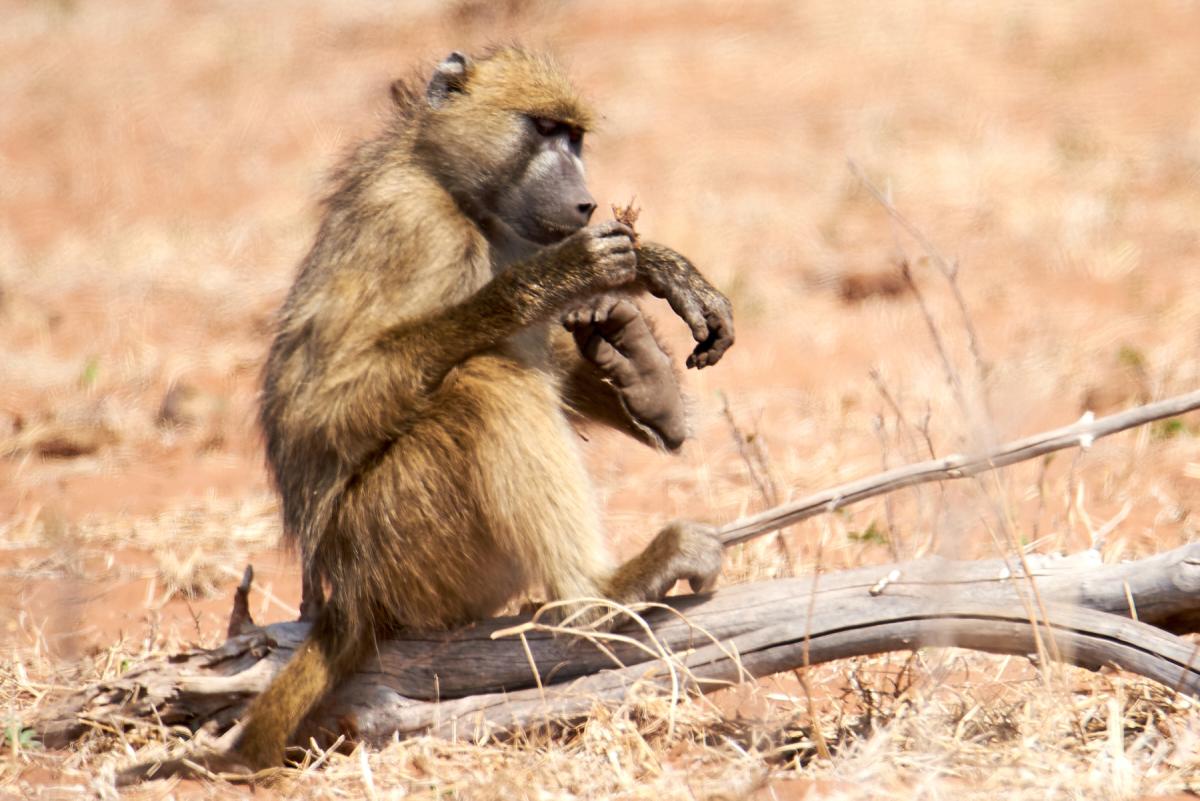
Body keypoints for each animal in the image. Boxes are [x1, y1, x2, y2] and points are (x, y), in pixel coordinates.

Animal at [236, 47, 736, 769]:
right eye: (542, 128)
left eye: (574, 137)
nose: (584, 201)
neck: (454, 191)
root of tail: (347, 602)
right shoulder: (413, 227)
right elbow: (322, 404)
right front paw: (555, 278)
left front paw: (651, 277)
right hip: (397, 541)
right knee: (486, 382)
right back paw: (602, 595)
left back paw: (646, 379)